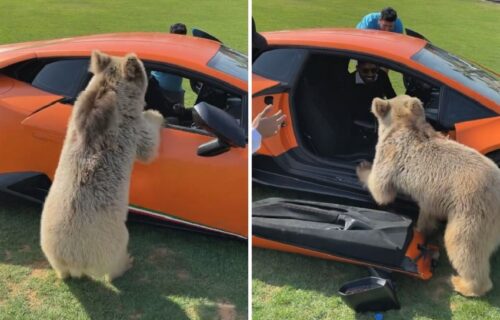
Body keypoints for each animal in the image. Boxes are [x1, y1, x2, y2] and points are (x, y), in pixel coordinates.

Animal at [40, 49, 164, 280]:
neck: (107, 90)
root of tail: (73, 261)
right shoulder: (133, 127)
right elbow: (149, 145)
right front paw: (156, 114)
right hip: (111, 244)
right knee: (112, 265)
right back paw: (126, 263)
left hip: (51, 251)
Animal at [356, 95, 500, 298]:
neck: (404, 126)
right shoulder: (431, 196)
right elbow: (427, 213)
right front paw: (424, 228)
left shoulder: (389, 155)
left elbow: (381, 189)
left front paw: (362, 168)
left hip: (472, 211)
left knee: (463, 245)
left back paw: (462, 284)